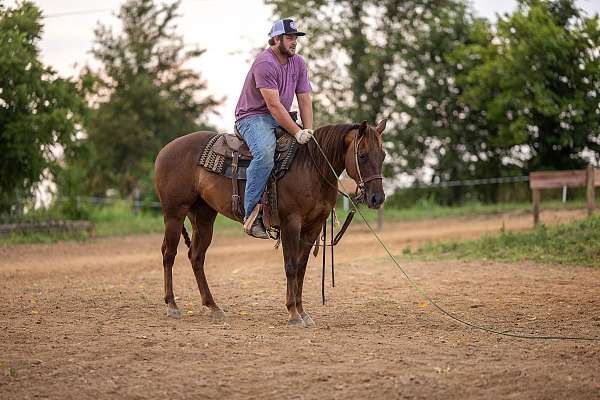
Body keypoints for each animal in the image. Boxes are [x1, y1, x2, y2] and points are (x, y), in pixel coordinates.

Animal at [155, 118, 386, 324]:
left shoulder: (313, 227)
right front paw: (293, 313)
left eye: (383, 155)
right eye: (362, 155)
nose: (377, 198)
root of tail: (165, 150)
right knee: (169, 253)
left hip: (203, 216)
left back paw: (213, 307)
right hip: (174, 213)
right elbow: (291, 265)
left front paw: (303, 312)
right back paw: (172, 305)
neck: (311, 168)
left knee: (196, 256)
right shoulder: (290, 223)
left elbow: (301, 267)